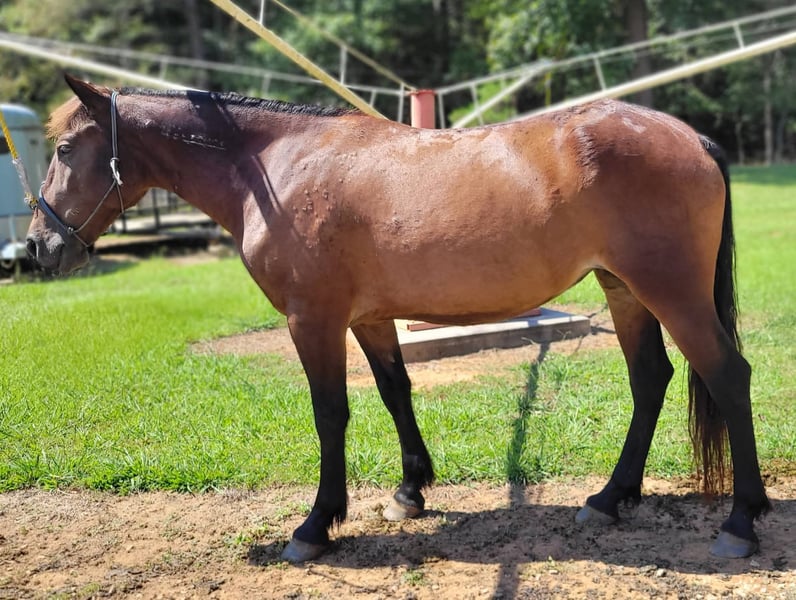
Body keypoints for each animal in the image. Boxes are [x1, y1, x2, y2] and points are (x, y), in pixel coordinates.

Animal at [27, 74, 770, 563]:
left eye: (63, 149)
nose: (39, 249)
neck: (275, 167)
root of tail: (692, 139)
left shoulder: (313, 319)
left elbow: (331, 413)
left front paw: (316, 525)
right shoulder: (367, 319)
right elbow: (394, 392)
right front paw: (411, 490)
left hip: (670, 292)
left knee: (728, 375)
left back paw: (740, 522)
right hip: (624, 291)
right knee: (651, 380)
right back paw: (611, 498)